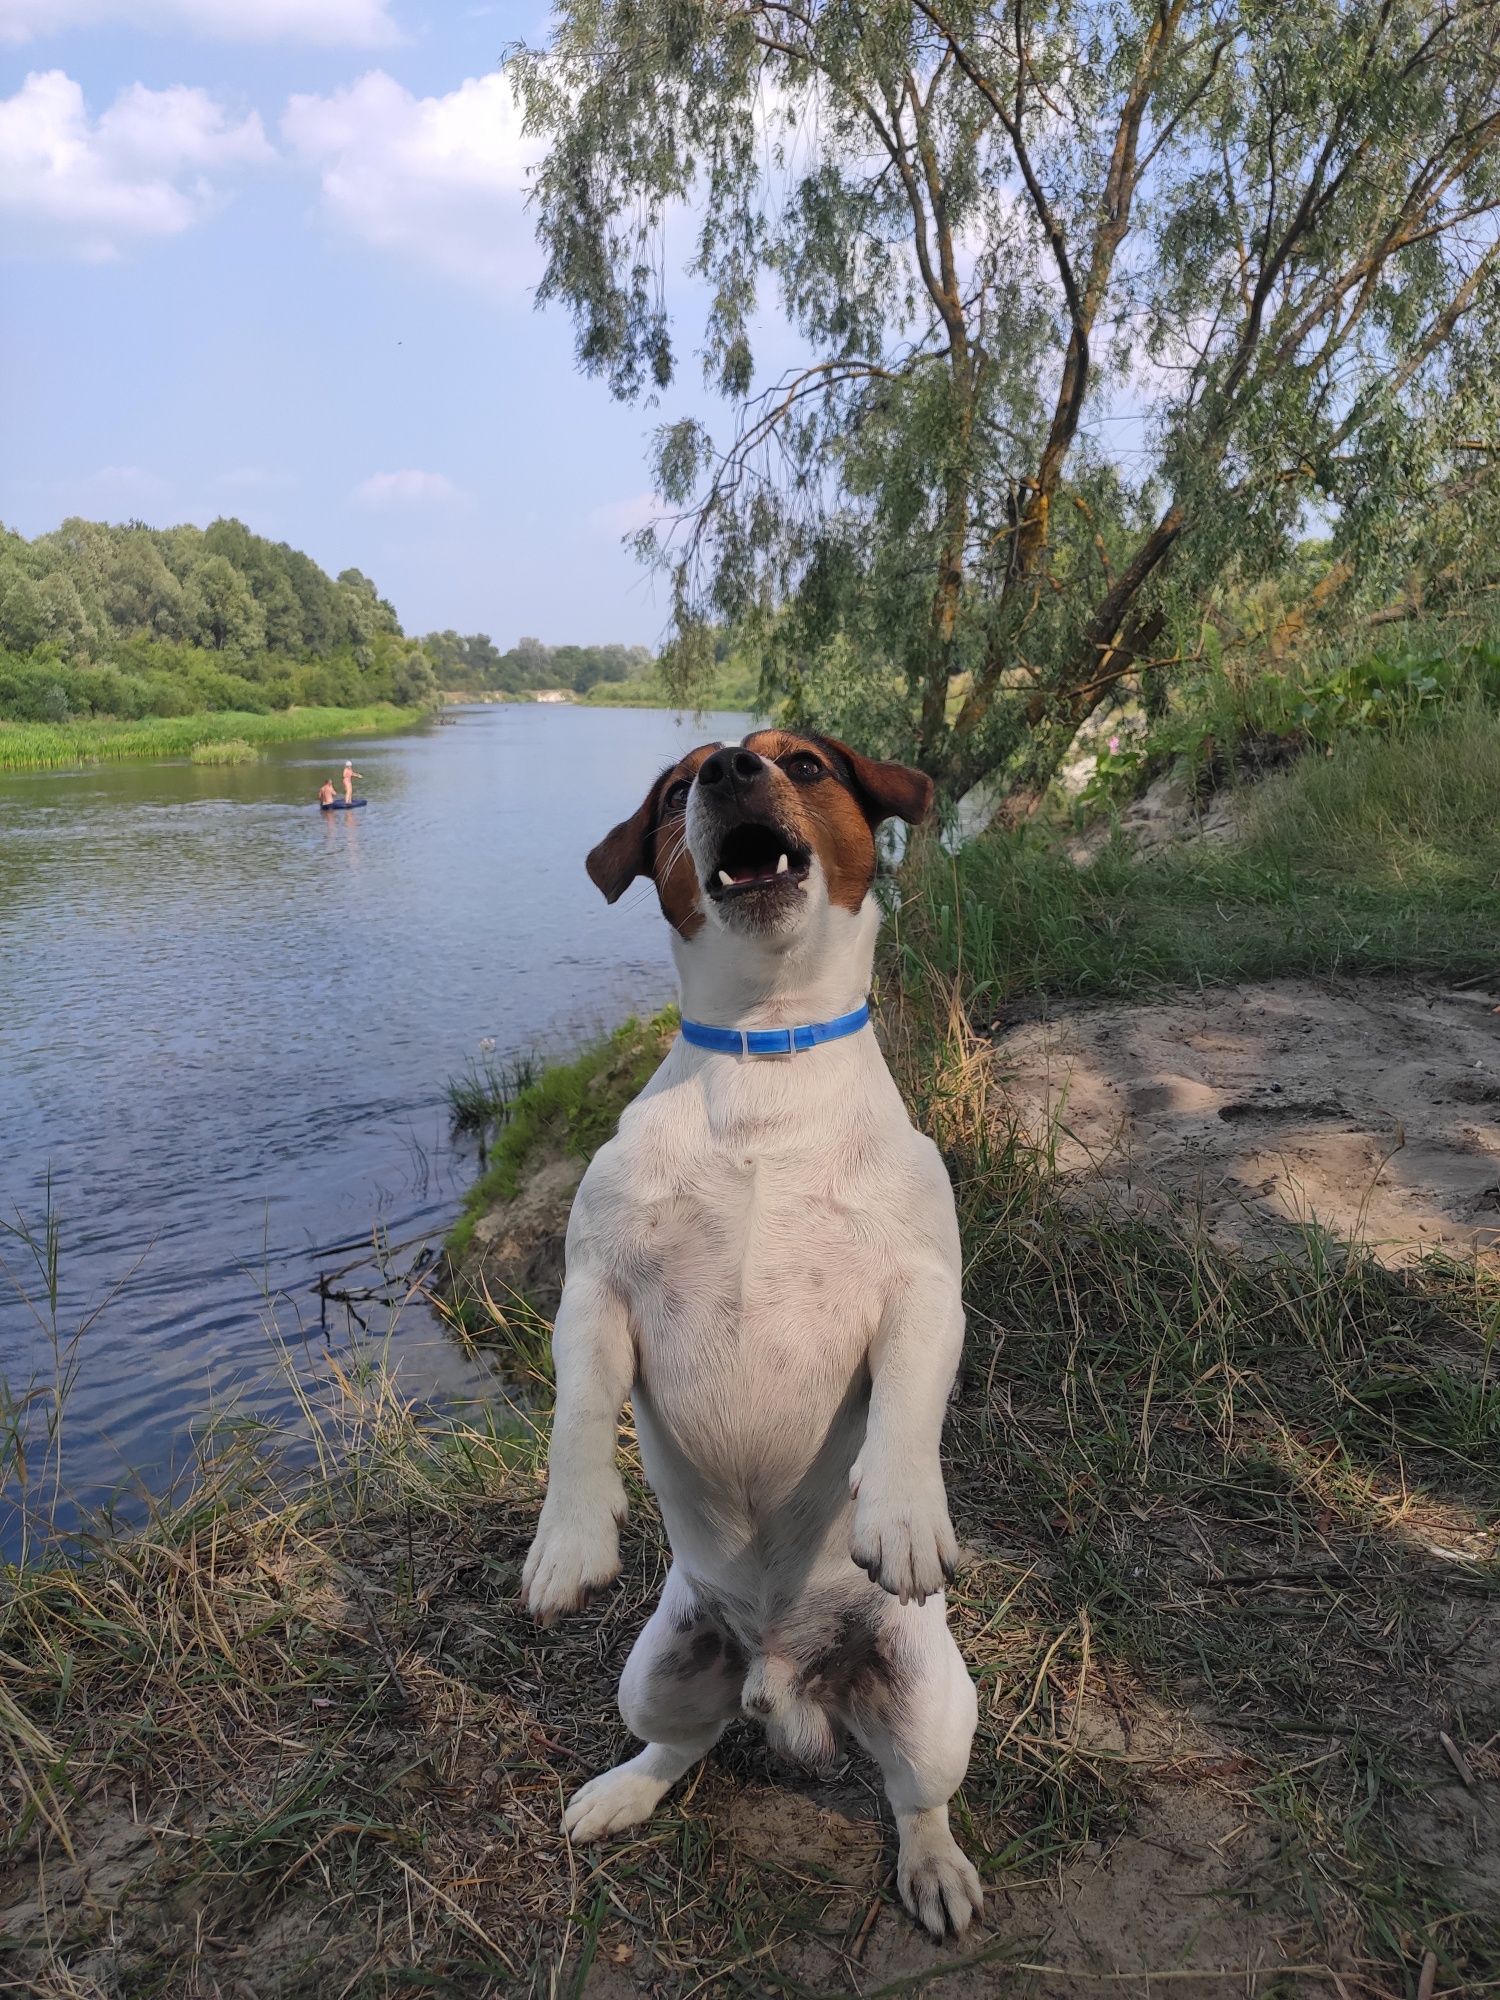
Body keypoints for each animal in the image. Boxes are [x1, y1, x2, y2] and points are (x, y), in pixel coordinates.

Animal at [520, 732, 988, 1936]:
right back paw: (620, 1791)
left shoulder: (925, 1290)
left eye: (809, 763)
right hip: (658, 1668)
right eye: (679, 786)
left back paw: (935, 1865)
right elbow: (576, 1416)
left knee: (916, 1797)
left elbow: (909, 1408)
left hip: (934, 1707)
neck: (766, 1054)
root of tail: (781, 1675)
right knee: (680, 1744)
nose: (733, 765)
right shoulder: (596, 1290)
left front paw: (903, 1512)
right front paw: (569, 1539)